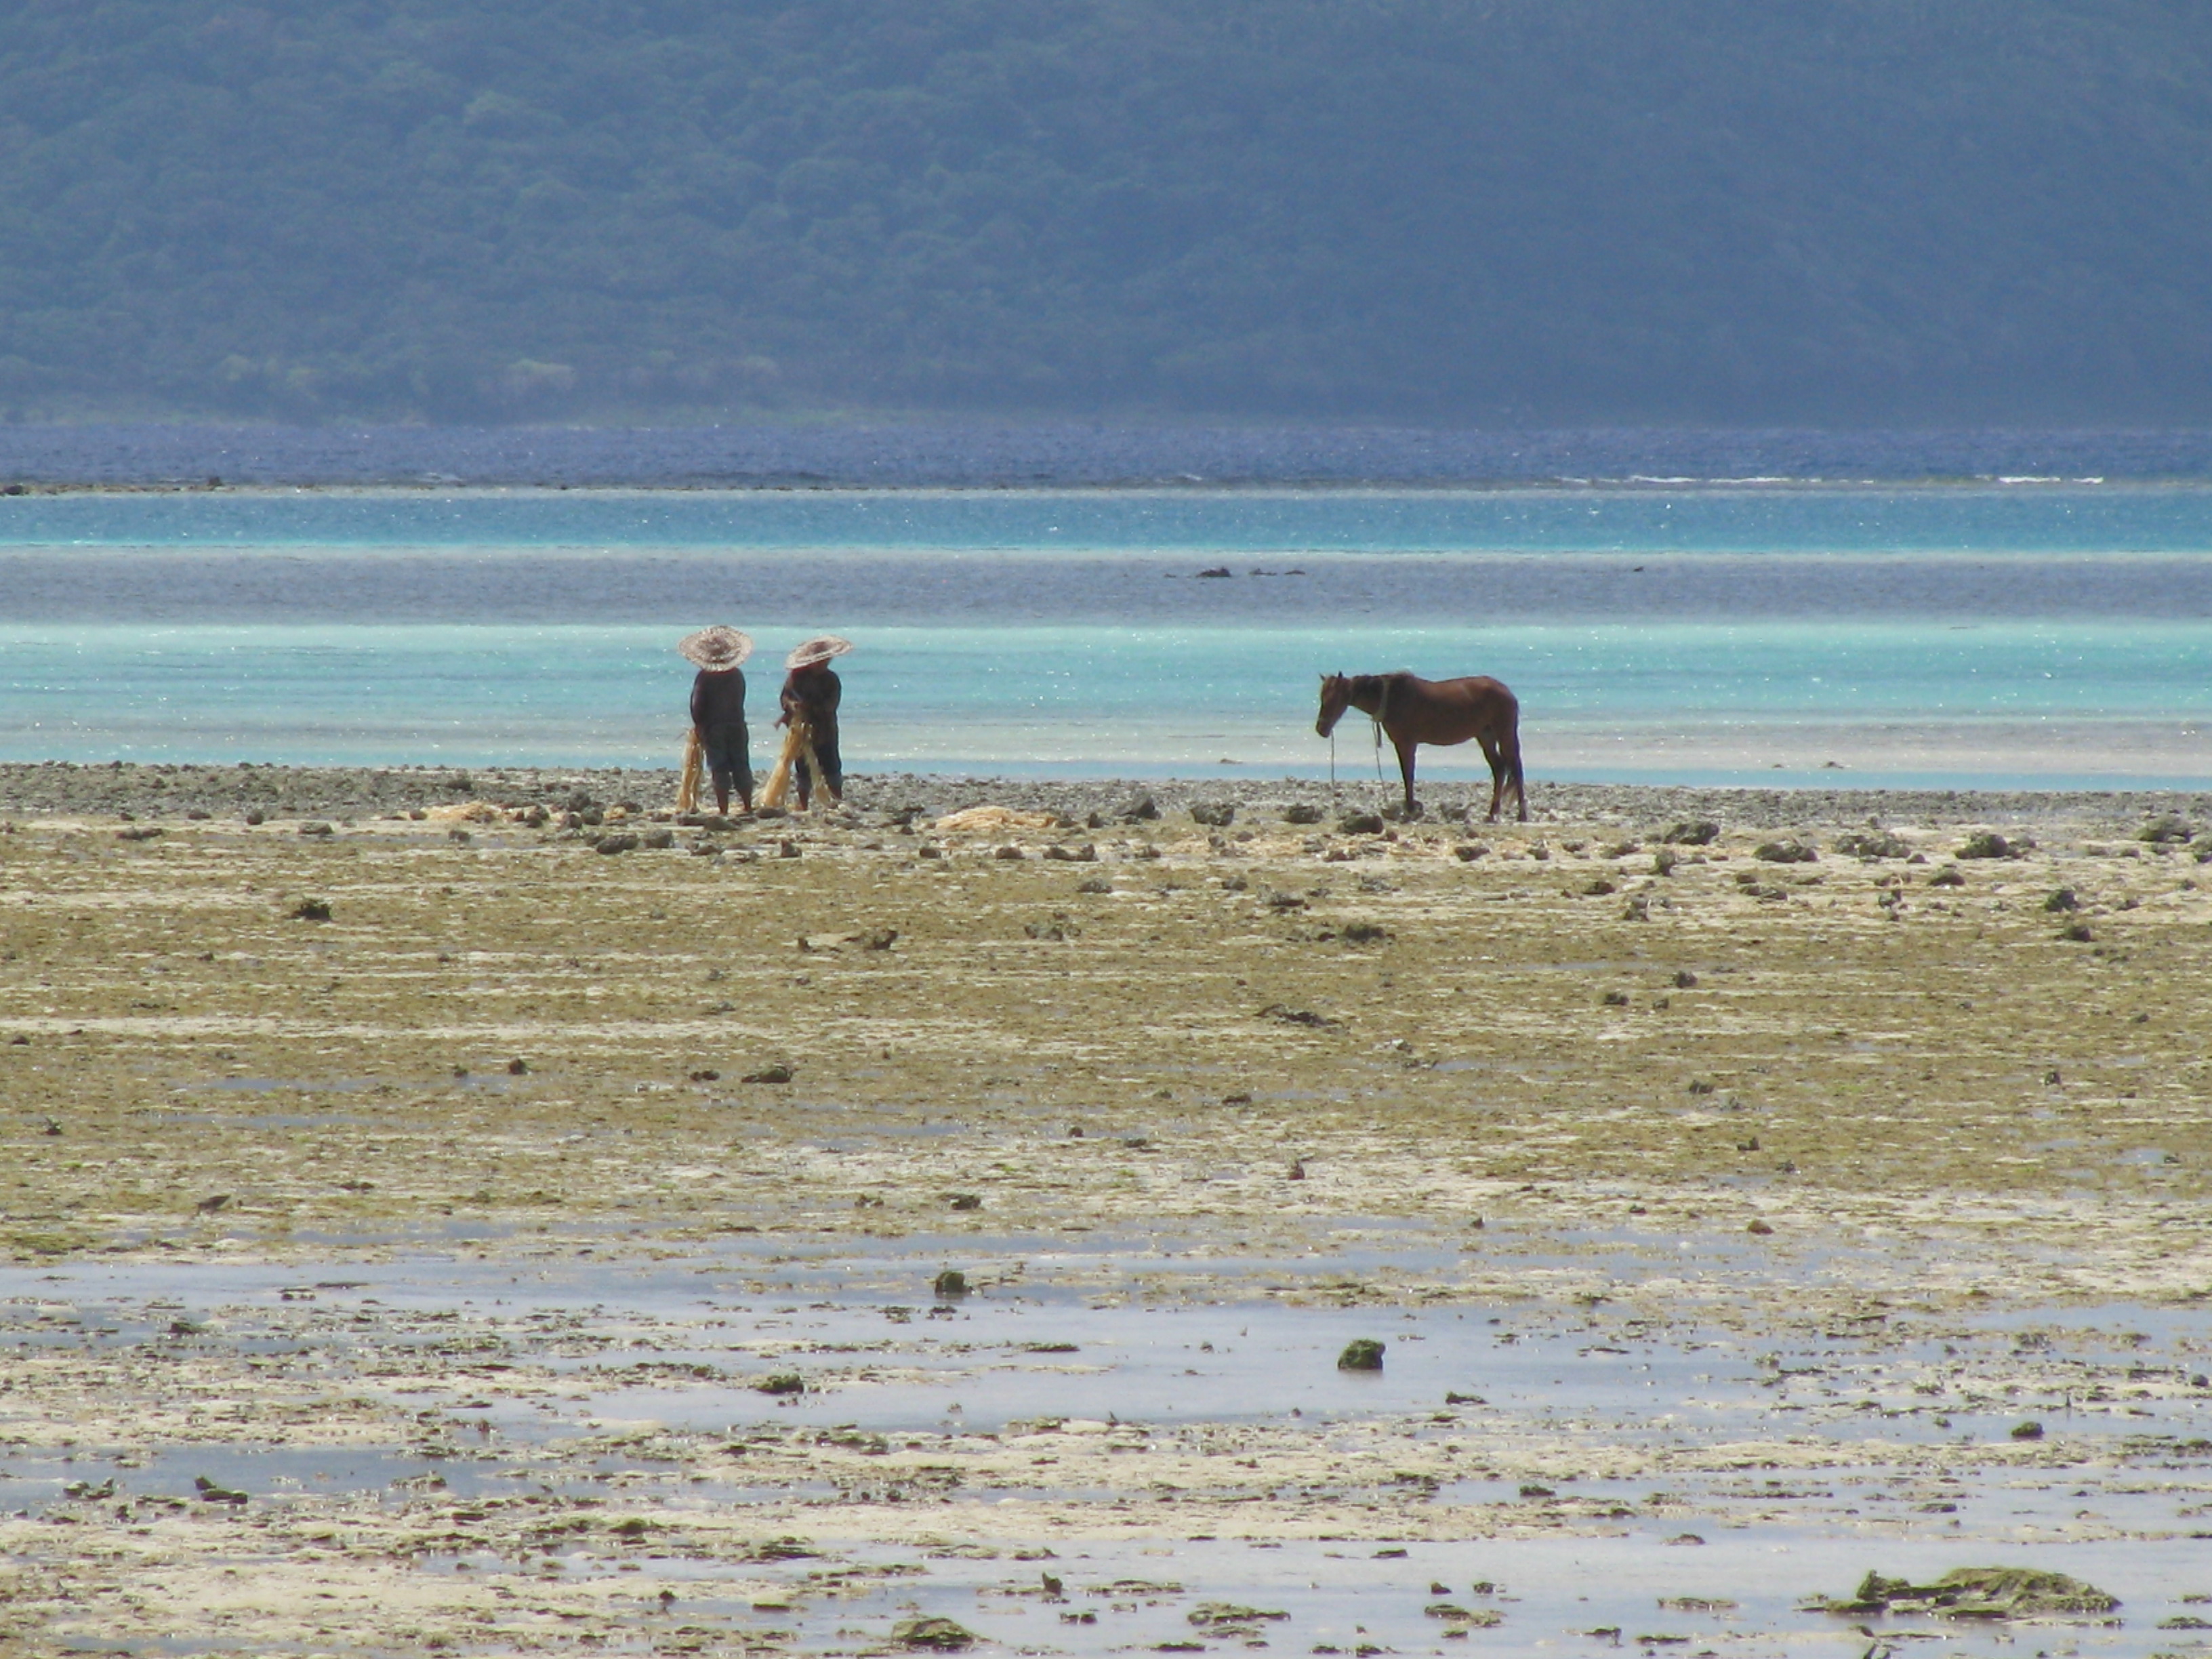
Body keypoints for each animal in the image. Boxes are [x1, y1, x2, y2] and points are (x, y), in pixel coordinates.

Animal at [1309, 676, 1521, 827]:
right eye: (1322, 697)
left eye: (1335, 699)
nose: (1321, 729)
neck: (1391, 698)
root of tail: (1508, 692)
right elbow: (1407, 775)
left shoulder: (1407, 743)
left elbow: (1408, 775)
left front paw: (1411, 810)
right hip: (1485, 735)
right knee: (1500, 768)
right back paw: (1492, 813)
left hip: (1504, 733)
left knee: (1516, 769)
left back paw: (1522, 814)